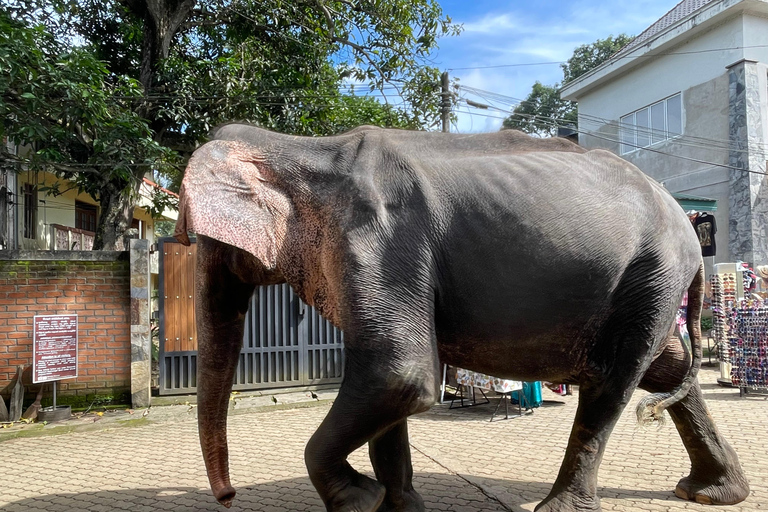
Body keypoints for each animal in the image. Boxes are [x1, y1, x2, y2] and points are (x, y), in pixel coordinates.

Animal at [174, 125, 752, 512]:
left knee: (615, 377)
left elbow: (399, 374)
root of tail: (688, 223)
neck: (298, 146)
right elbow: (393, 386)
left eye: (203, 241)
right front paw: (398, 506)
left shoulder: (378, 238)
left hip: (651, 272)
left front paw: (358, 498)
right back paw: (712, 491)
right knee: (667, 368)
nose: (227, 496)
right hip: (649, 285)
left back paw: (561, 507)